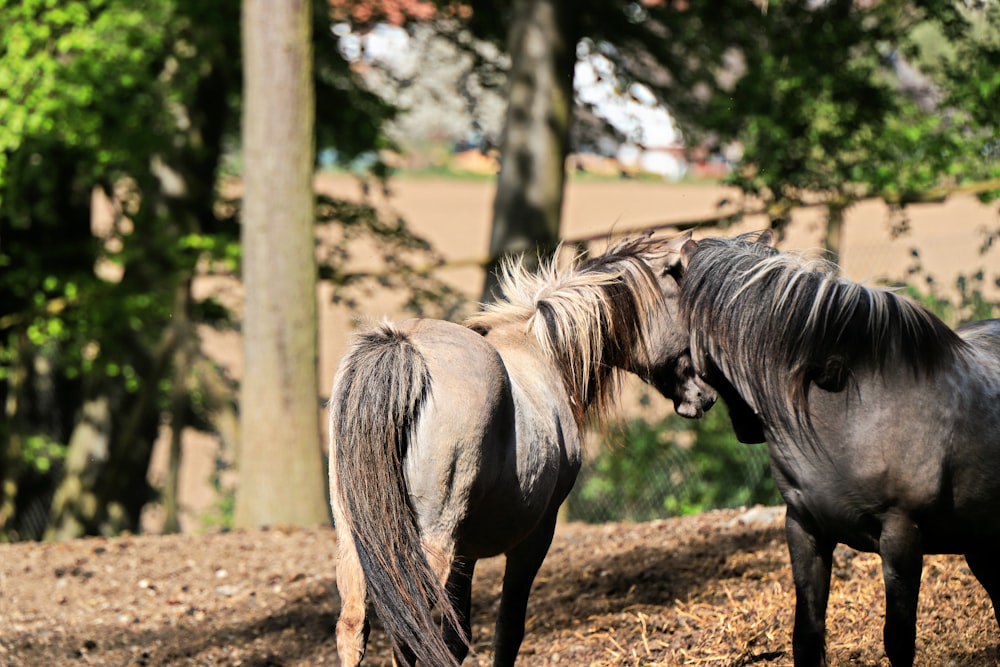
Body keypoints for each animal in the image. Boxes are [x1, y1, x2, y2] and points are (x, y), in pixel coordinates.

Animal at [332, 234, 716, 664]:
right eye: (688, 315)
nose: (707, 396)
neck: (542, 351)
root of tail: (403, 347)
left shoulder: (466, 553)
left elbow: (458, 636)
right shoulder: (535, 537)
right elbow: (508, 629)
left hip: (356, 541)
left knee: (355, 627)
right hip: (429, 543)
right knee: (409, 633)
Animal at [680, 232, 1000, 664]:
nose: (747, 430)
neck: (849, 407)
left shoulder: (902, 536)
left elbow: (899, 639)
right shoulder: (804, 529)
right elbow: (807, 635)